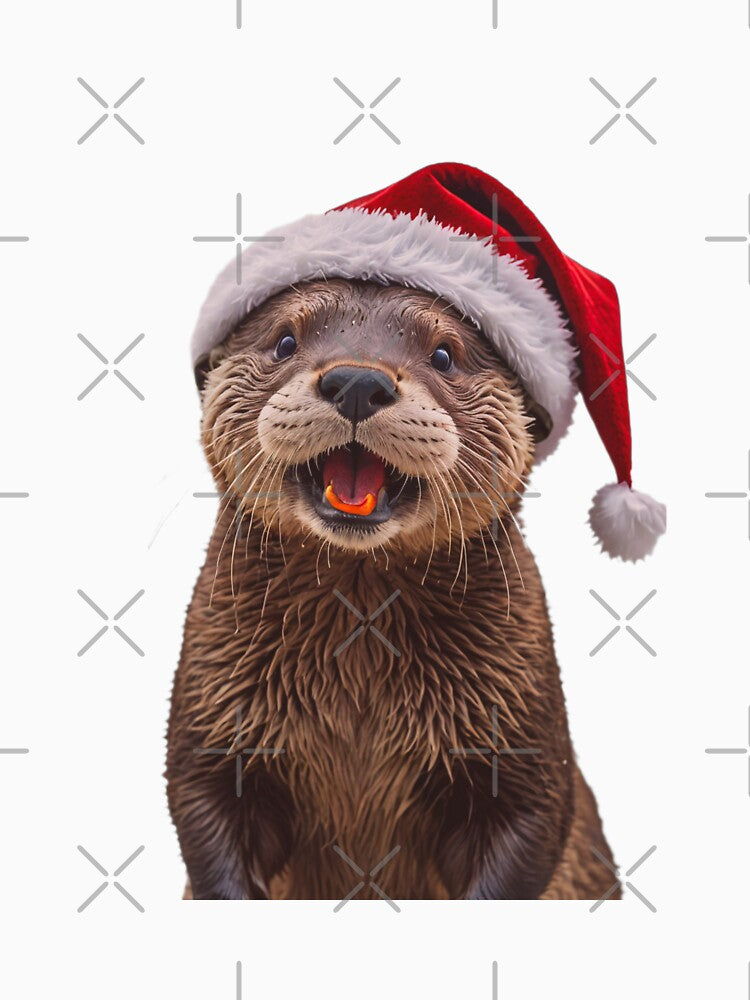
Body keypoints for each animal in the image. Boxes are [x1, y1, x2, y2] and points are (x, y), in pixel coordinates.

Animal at [166, 278, 618, 901]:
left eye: (445, 354)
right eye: (284, 341)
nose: (358, 381)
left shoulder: (524, 751)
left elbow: (529, 831)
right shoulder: (210, 730)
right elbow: (205, 821)